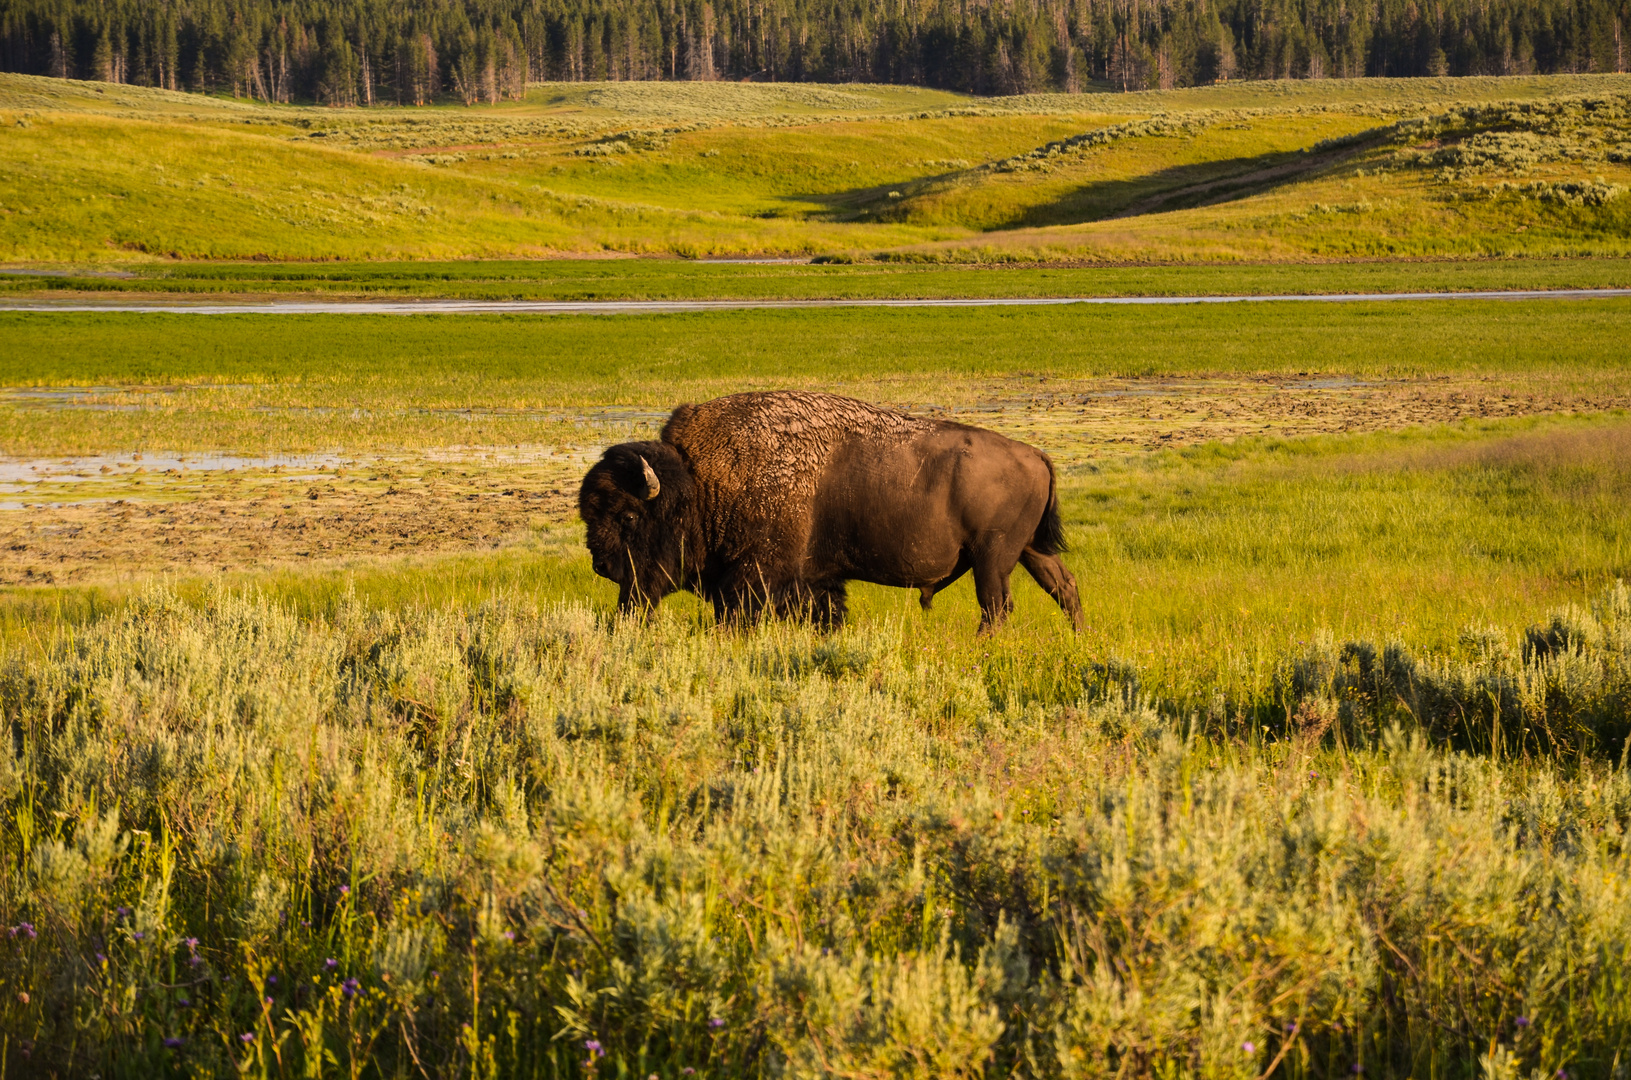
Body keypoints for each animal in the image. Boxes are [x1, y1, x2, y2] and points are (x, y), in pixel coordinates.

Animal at [577, 393, 1082, 636]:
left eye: (628, 517)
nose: (601, 565)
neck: (700, 481)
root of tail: (1036, 455)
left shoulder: (754, 578)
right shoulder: (814, 582)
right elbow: (825, 614)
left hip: (992, 558)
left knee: (997, 606)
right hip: (1028, 551)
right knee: (1063, 587)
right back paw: (1078, 636)